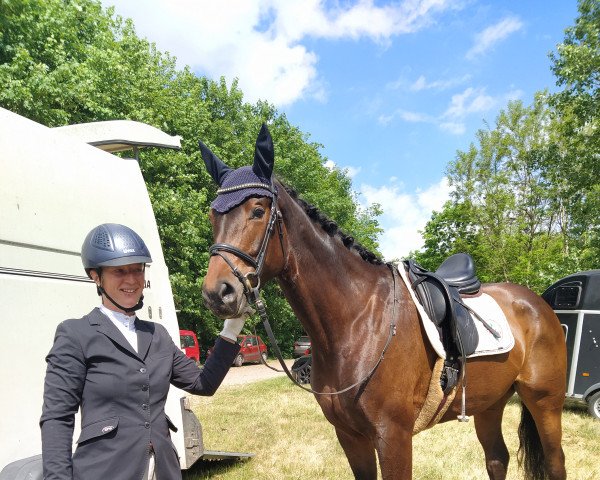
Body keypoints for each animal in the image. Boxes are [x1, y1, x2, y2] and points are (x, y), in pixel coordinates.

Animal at [199, 124, 564, 480]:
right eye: (211, 216)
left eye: (258, 211)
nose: (218, 293)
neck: (357, 321)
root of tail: (538, 304)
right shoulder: (350, 437)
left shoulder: (393, 436)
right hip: (489, 404)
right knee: (497, 460)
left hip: (545, 403)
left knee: (554, 462)